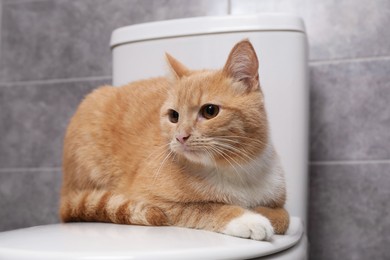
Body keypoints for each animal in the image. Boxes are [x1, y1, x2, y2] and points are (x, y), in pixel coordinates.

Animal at [58, 39, 290, 241]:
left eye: (210, 111)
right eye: (173, 116)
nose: (180, 136)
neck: (234, 167)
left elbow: (284, 217)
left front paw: (261, 211)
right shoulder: (152, 200)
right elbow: (205, 207)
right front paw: (248, 218)